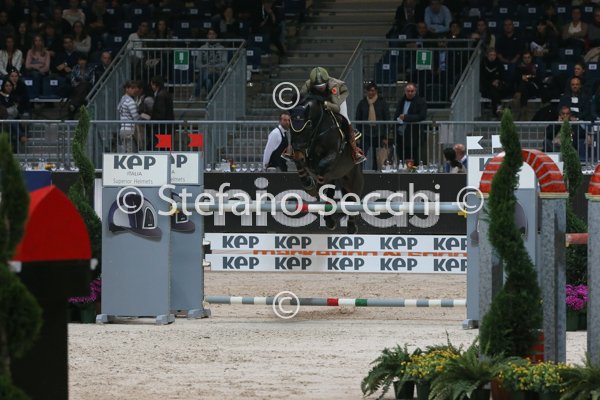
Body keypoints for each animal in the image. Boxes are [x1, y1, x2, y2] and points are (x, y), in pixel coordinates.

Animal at [289, 95, 364, 234]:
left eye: (308, 125)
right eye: (290, 125)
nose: (299, 152)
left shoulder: (333, 154)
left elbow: (322, 165)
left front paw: (316, 188)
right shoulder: (300, 154)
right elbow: (300, 164)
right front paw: (309, 185)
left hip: (353, 178)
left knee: (353, 198)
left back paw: (351, 227)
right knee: (330, 196)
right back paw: (330, 222)